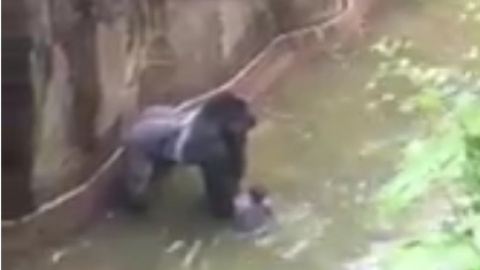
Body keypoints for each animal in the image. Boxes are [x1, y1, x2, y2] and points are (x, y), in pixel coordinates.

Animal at [118, 92, 256, 218]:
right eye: (245, 113)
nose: (253, 119)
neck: (215, 120)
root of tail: (131, 130)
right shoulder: (214, 144)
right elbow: (221, 182)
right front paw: (224, 210)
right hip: (136, 147)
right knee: (138, 179)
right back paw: (136, 205)